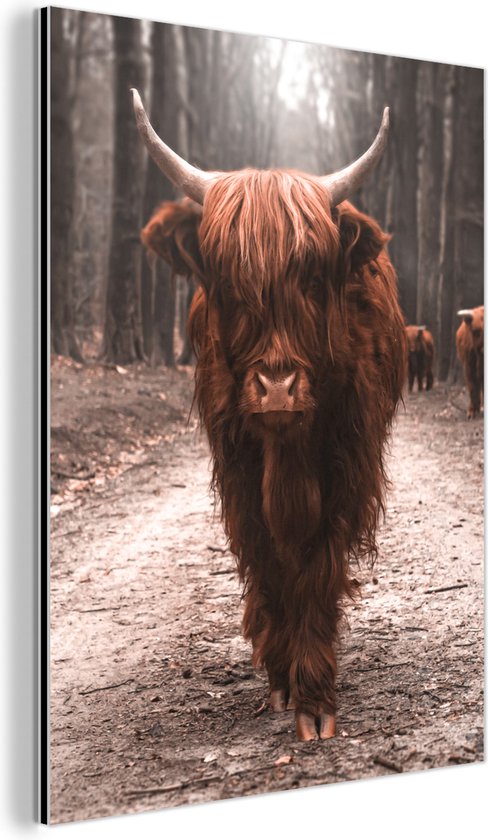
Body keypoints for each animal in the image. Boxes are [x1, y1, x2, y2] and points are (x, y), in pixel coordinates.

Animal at [132, 89, 407, 741]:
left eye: (312, 277)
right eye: (228, 282)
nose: (277, 388)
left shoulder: (346, 466)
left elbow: (316, 565)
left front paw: (315, 697)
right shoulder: (237, 470)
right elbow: (268, 562)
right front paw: (283, 680)